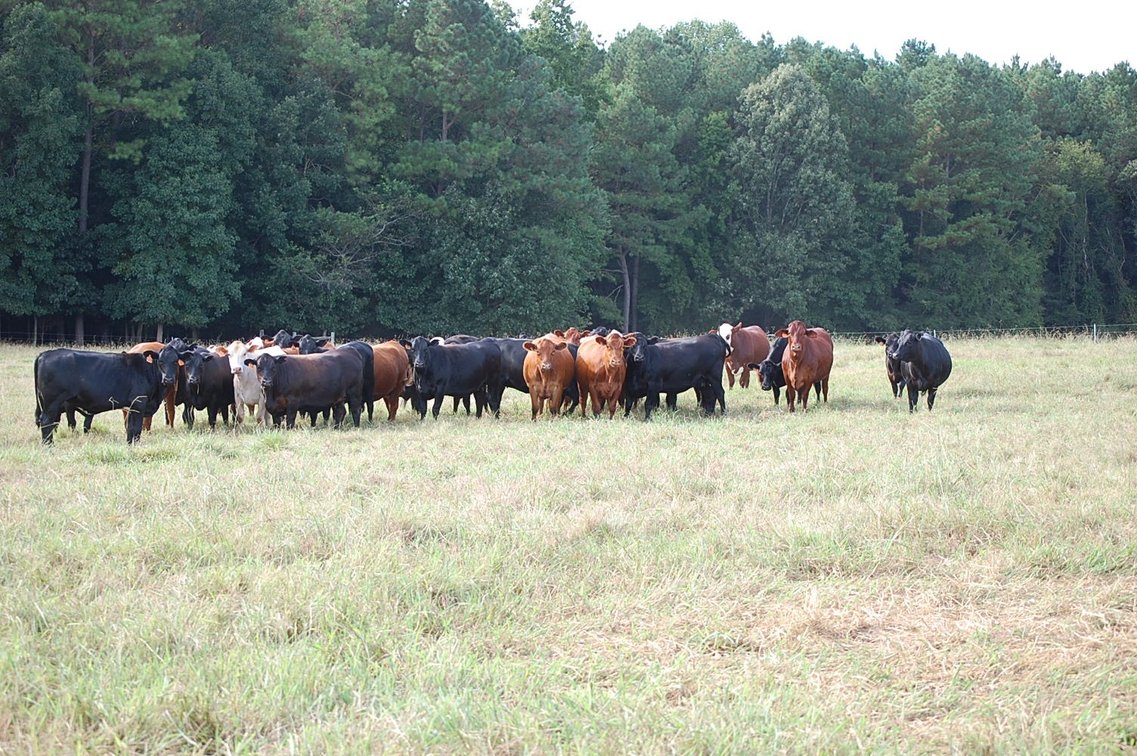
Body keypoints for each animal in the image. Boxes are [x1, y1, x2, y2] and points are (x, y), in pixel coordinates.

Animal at [35, 346, 175, 444]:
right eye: (160, 361)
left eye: (175, 361)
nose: (168, 379)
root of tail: (45, 354)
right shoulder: (139, 403)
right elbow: (136, 428)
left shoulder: (131, 407)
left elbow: (130, 427)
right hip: (51, 403)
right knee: (47, 422)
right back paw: (48, 445)